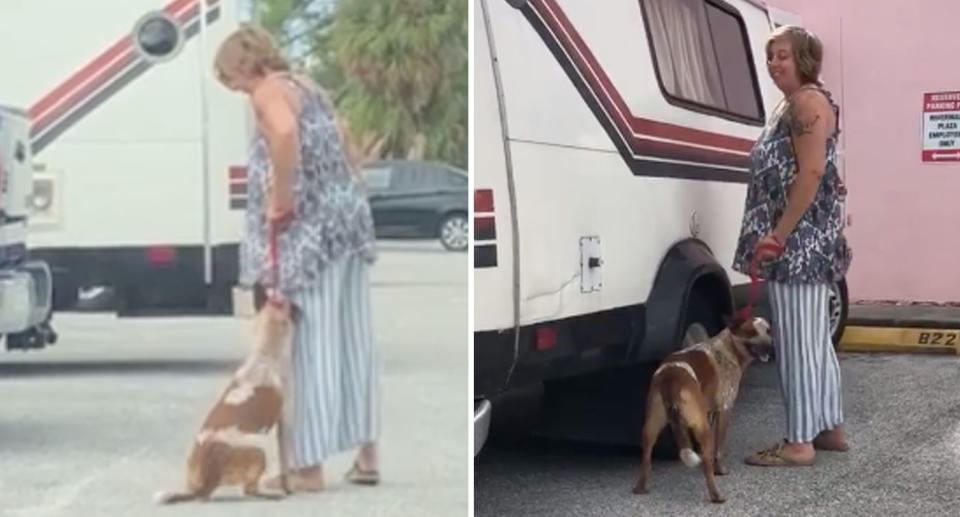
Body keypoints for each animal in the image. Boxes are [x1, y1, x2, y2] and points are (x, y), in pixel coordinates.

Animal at [154, 296, 298, 502]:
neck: (263, 355)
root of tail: (209, 474)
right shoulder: (286, 421)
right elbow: (286, 461)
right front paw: (289, 486)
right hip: (259, 448)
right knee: (249, 490)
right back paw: (272, 495)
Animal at [632, 312, 776, 502]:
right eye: (751, 332)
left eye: (768, 330)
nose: (769, 348)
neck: (729, 348)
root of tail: (670, 377)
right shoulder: (724, 410)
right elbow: (719, 448)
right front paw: (721, 470)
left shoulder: (709, 412)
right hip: (701, 427)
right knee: (706, 465)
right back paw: (716, 495)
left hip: (651, 425)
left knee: (646, 456)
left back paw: (640, 488)